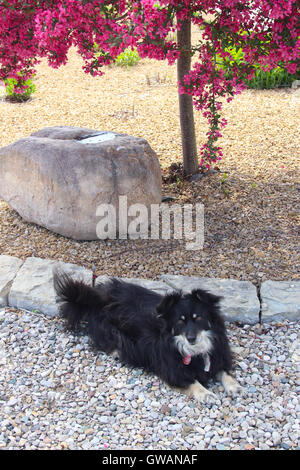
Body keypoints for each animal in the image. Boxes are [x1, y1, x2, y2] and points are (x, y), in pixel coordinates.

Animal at [54, 274, 241, 402]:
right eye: (180, 321)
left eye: (198, 318)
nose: (191, 338)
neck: (195, 351)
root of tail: (94, 299)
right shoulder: (171, 370)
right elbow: (192, 382)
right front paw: (206, 394)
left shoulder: (218, 355)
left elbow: (224, 372)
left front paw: (234, 386)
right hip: (110, 331)